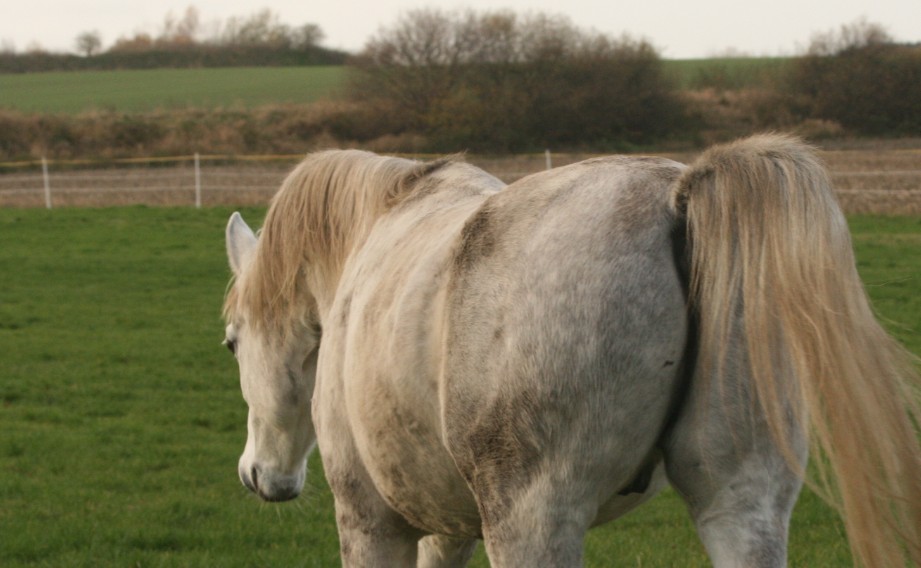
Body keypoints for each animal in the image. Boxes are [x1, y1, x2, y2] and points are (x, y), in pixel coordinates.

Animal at [225, 136, 920, 568]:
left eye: (231, 341)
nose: (259, 475)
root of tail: (679, 195)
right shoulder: (447, 530)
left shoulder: (371, 522)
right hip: (743, 504)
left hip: (534, 521)